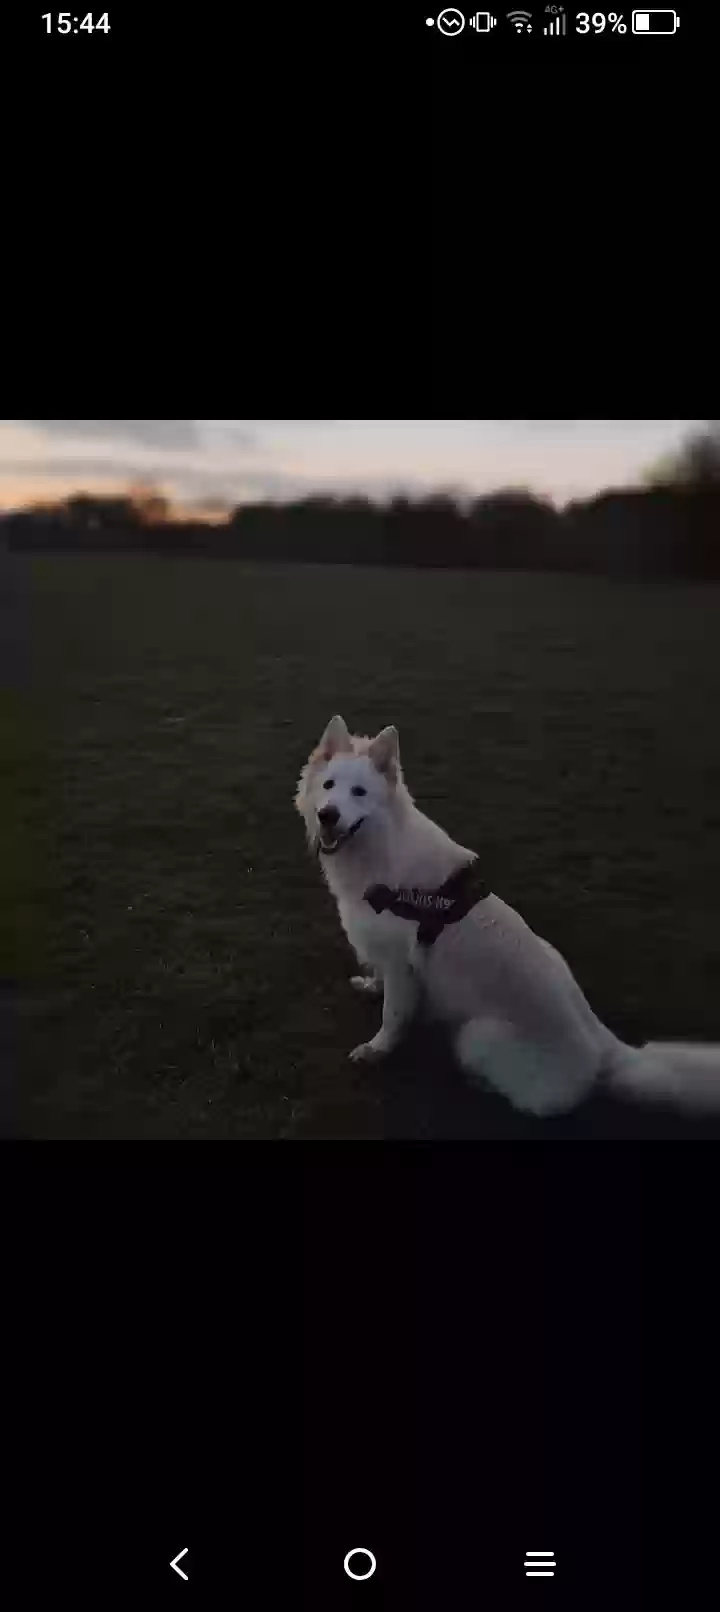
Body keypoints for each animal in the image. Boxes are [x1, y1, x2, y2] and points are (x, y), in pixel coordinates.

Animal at [294, 718, 720, 1121]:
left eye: (359, 793)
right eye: (329, 785)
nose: (328, 815)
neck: (381, 850)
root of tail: (602, 1046)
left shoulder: (403, 967)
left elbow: (393, 1016)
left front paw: (377, 1049)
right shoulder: (385, 954)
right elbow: (380, 983)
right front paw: (370, 986)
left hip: (474, 1035)